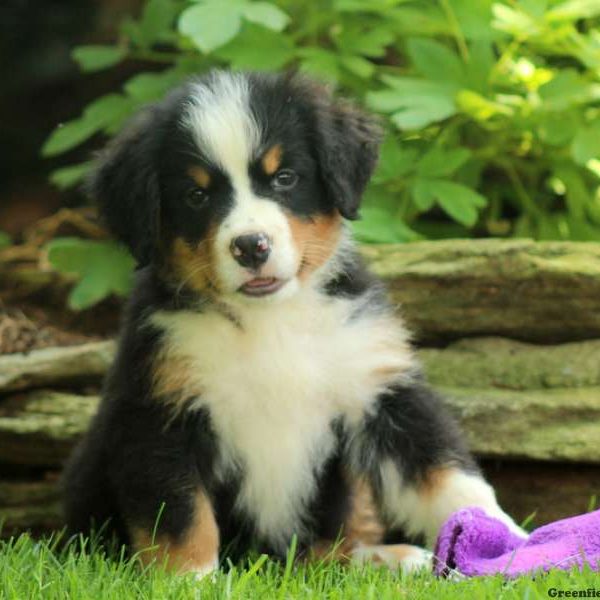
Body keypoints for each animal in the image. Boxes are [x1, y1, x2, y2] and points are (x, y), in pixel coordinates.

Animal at [62, 70, 520, 576]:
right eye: (196, 195)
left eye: (285, 178)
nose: (250, 245)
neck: (271, 321)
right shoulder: (160, 413)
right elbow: (181, 517)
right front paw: (190, 580)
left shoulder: (378, 387)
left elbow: (444, 475)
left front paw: (511, 543)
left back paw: (390, 557)